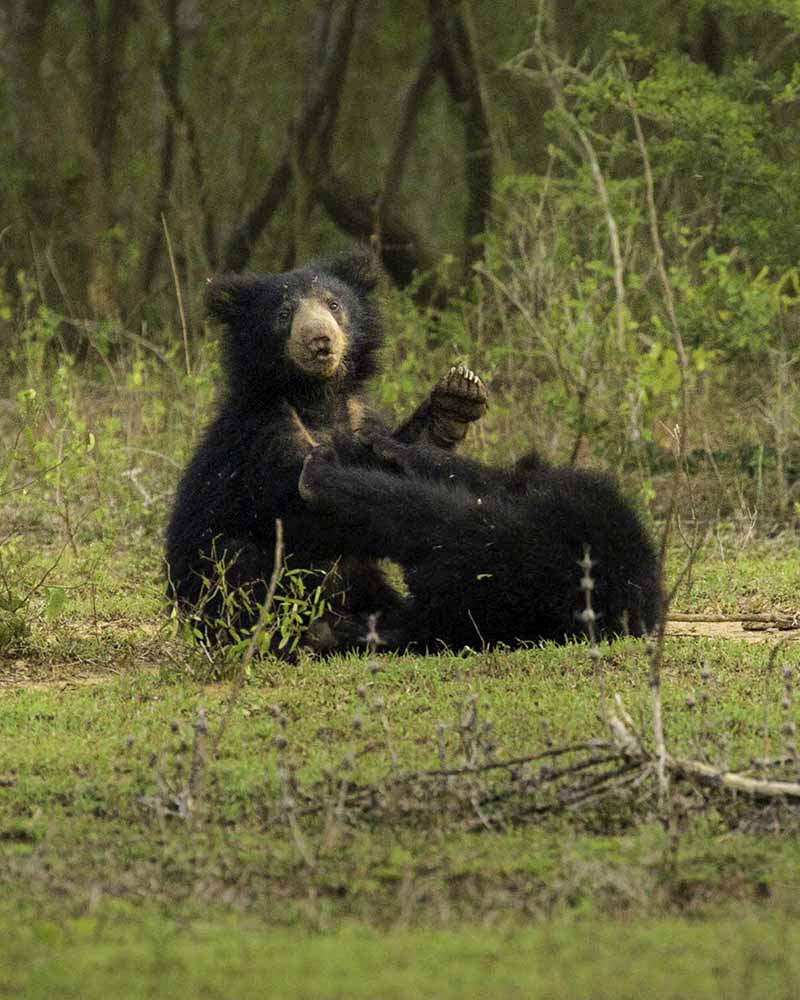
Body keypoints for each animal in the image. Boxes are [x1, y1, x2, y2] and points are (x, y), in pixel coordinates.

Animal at [164, 247, 488, 648]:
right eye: (284, 314)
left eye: (334, 305)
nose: (320, 340)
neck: (318, 396)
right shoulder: (265, 438)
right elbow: (302, 512)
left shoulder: (360, 416)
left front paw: (455, 399)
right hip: (212, 589)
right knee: (235, 559)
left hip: (362, 584)